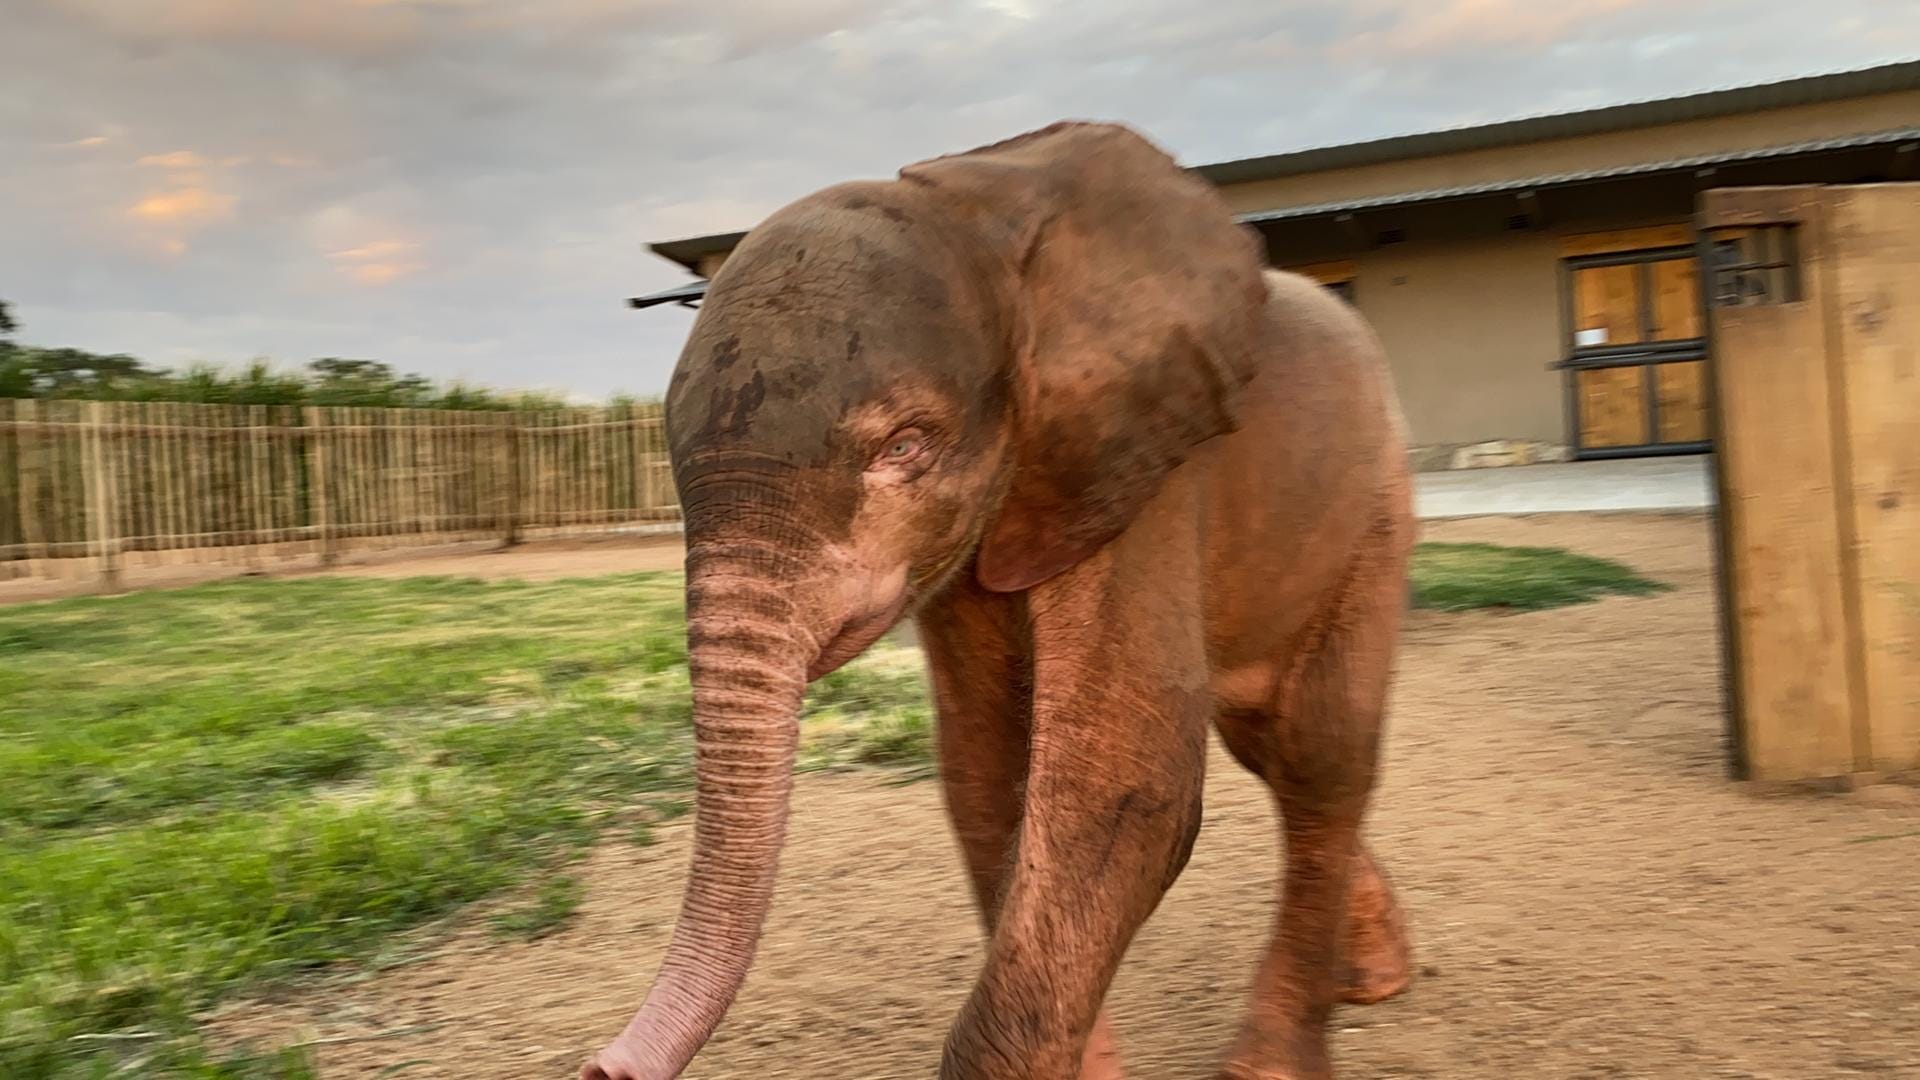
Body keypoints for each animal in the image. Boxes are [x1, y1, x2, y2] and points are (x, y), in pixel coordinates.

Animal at [579, 119, 1413, 1076]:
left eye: (905, 446)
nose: (599, 1066)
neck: (981, 215)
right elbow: (985, 771)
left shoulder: (1147, 468)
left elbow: (1120, 789)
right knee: (1269, 744)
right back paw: (1372, 976)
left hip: (1376, 502)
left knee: (1319, 750)